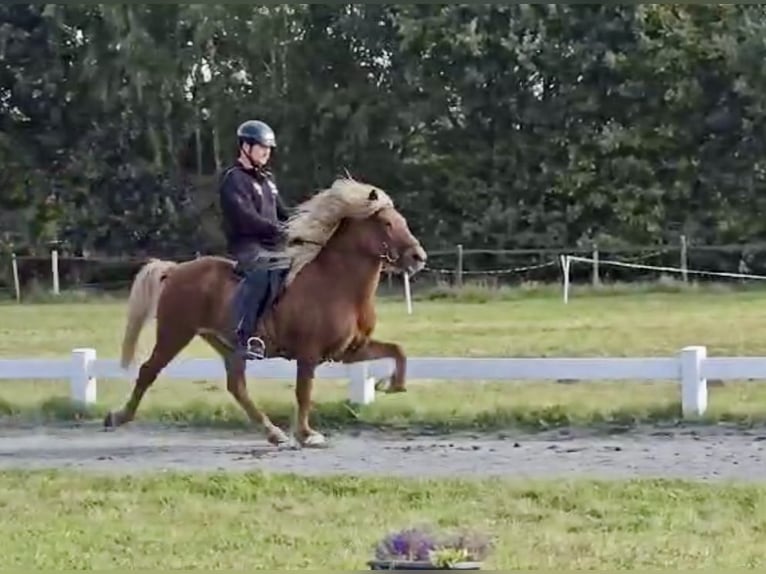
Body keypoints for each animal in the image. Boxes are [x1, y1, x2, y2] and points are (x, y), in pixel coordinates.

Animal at [104, 177, 428, 450]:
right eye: (386, 223)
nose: (418, 258)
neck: (337, 284)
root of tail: (175, 270)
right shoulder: (309, 354)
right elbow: (303, 392)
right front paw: (307, 435)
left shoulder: (349, 351)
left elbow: (397, 351)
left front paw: (393, 385)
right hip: (175, 332)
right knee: (148, 371)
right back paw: (117, 417)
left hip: (226, 344)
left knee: (236, 386)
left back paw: (273, 433)